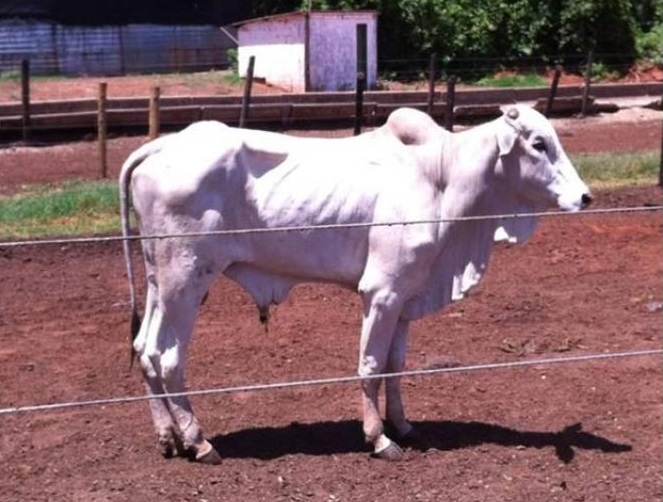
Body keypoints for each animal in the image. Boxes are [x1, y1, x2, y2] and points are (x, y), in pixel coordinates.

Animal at [119, 106, 592, 462]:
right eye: (538, 143)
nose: (585, 196)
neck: (441, 177)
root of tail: (161, 145)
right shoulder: (381, 292)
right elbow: (370, 365)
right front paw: (379, 438)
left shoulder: (407, 296)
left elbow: (395, 366)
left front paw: (404, 426)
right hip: (186, 279)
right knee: (167, 358)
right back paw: (199, 442)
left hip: (160, 281)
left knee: (144, 349)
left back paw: (169, 437)